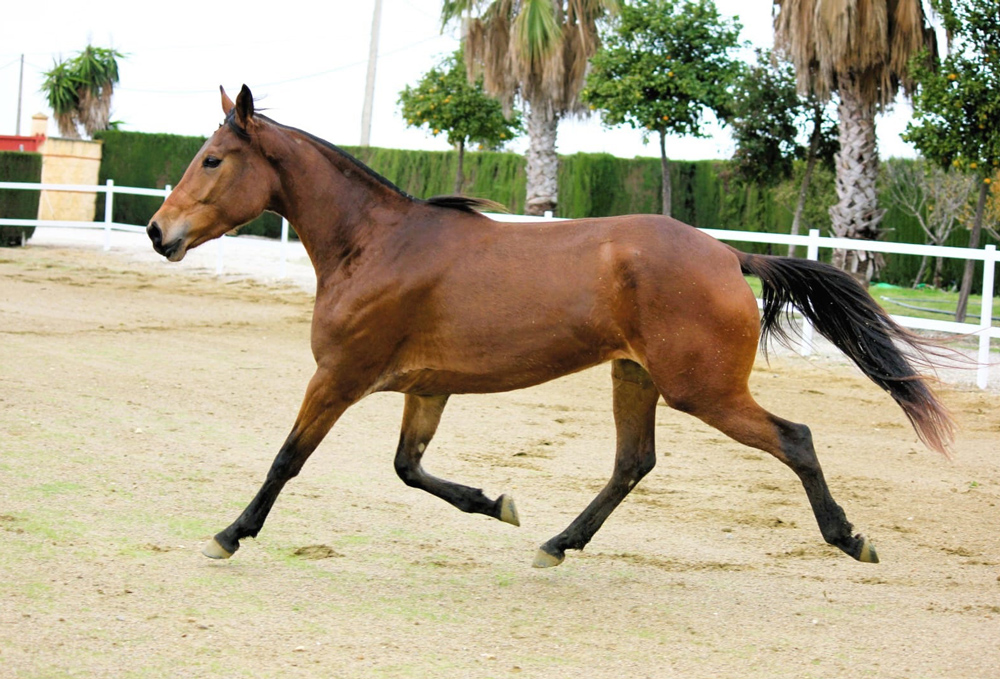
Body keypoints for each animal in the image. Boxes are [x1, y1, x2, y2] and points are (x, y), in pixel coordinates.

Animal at [147, 85, 954, 568]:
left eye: (212, 159)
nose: (158, 232)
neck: (375, 244)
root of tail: (728, 253)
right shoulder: (426, 388)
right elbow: (409, 468)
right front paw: (496, 504)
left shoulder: (339, 376)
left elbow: (288, 458)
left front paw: (228, 534)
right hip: (636, 377)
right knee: (632, 464)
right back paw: (557, 543)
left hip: (703, 390)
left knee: (796, 439)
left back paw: (849, 538)